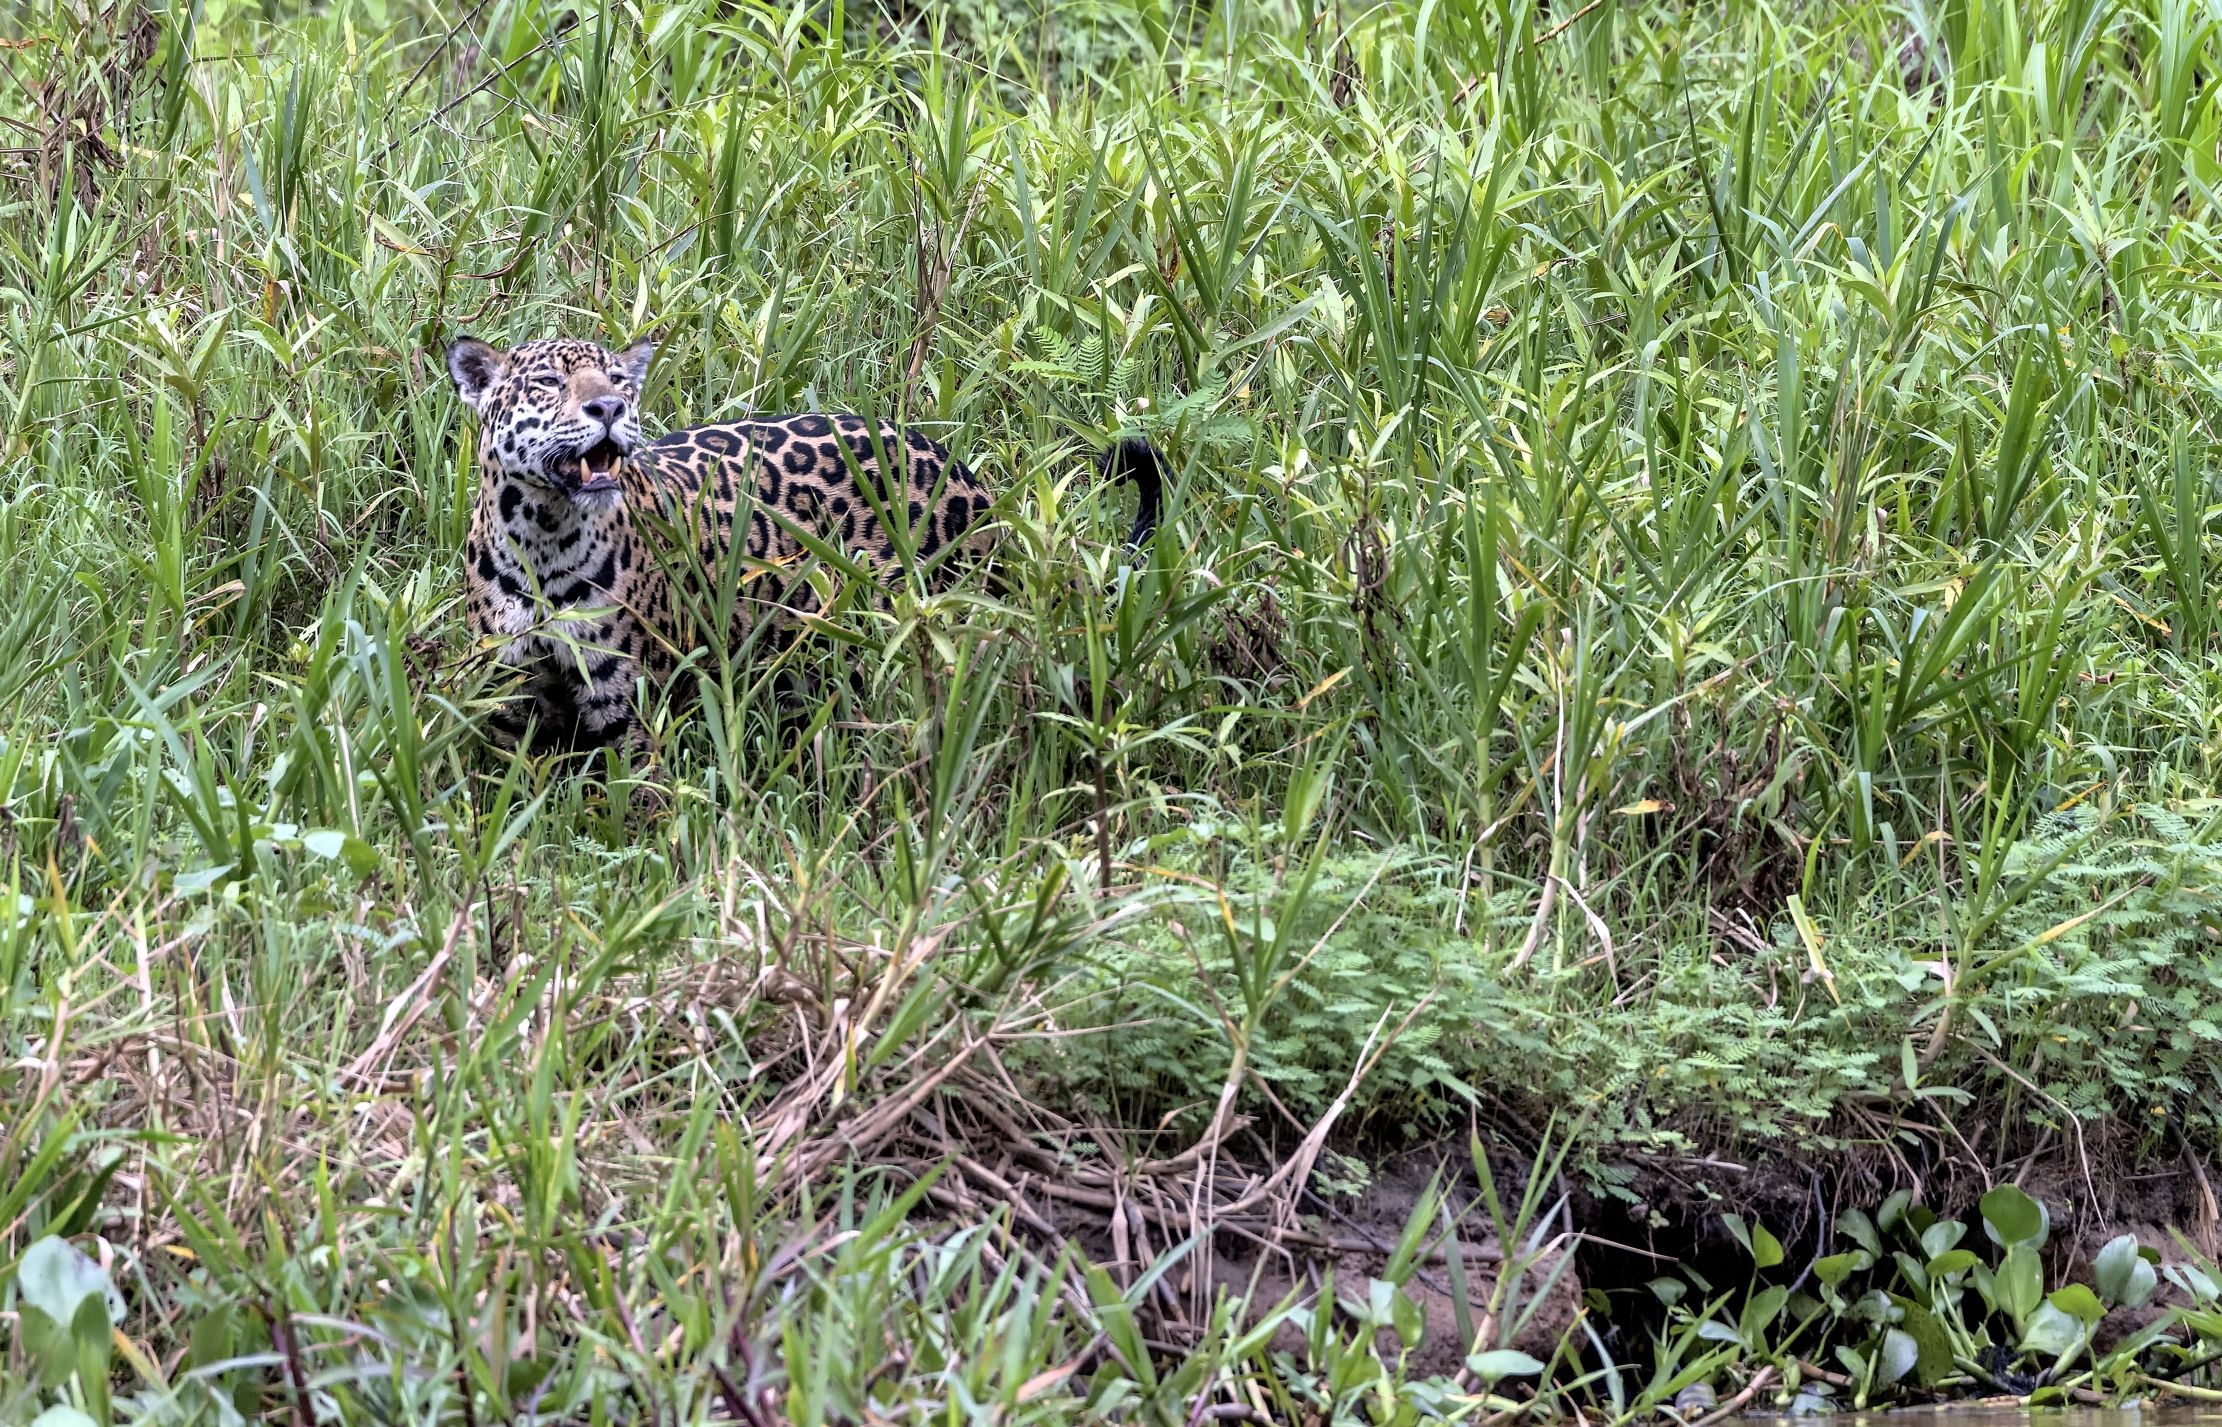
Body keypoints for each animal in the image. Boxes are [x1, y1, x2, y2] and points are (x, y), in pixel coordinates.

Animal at [445, 332, 1165, 752]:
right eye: (548, 385)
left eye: (618, 382)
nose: (610, 410)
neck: (546, 537)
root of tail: (967, 478)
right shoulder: (507, 712)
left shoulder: (629, 712)